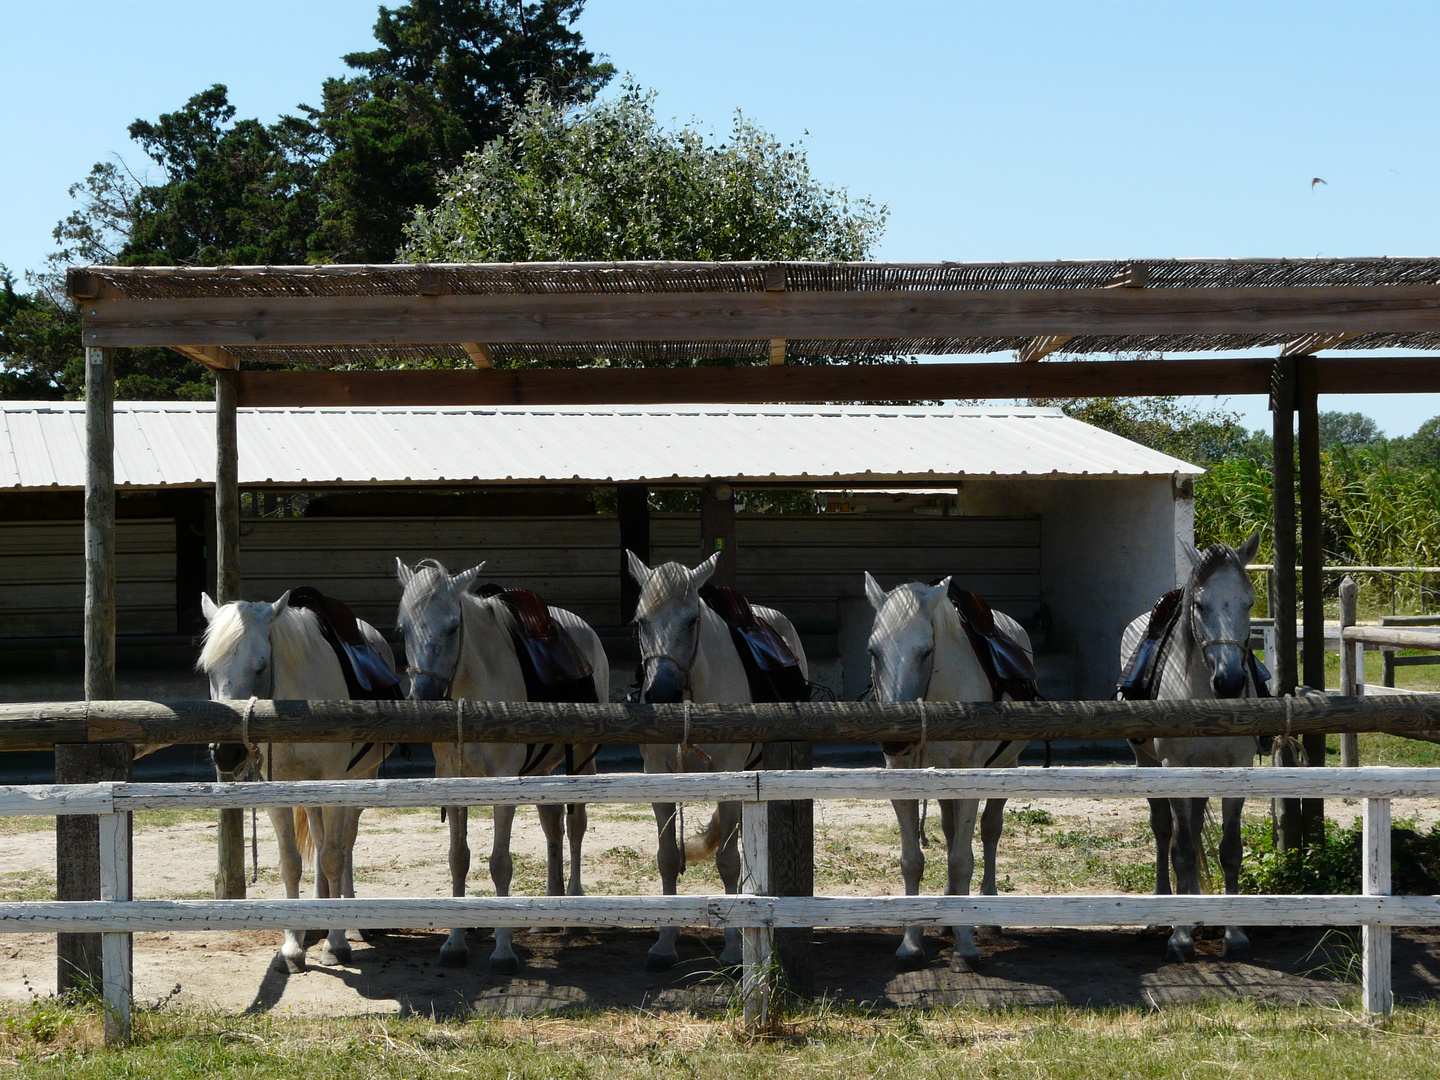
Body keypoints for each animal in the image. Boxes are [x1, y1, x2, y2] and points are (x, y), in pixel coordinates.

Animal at [197, 596, 391, 979]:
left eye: (261, 666)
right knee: (320, 839)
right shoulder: (279, 789)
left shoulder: (334, 783)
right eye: (208, 670)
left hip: (358, 781)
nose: (225, 751)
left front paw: (335, 944)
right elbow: (292, 862)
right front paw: (292, 947)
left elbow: (332, 858)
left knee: (345, 844)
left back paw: (350, 923)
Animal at [394, 561, 607, 979]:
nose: (424, 699)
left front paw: (503, 951)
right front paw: (454, 944)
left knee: (575, 826)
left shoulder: (503, 785)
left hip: (583, 759)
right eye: (403, 629)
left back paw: (573, 909)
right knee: (553, 826)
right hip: (542, 769)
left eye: (452, 628)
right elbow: (458, 858)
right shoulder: (451, 780)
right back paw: (549, 910)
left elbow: (500, 864)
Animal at [630, 550, 812, 973]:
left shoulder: (731, 774)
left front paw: (732, 947)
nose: (661, 692)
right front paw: (664, 944)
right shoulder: (657, 775)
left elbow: (728, 860)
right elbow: (667, 858)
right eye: (640, 621)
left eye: (693, 620)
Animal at [864, 578, 1036, 979]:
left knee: (989, 831)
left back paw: (986, 915)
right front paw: (911, 943)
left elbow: (962, 858)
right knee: (950, 828)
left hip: (1005, 765)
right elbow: (913, 859)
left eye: (926, 651)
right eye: (874, 651)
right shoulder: (902, 775)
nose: (893, 737)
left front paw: (966, 947)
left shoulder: (971, 774)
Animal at [1123, 532, 1261, 961]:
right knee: (1164, 831)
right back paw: (1162, 911)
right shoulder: (1174, 765)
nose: (1230, 681)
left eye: (1249, 602)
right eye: (1199, 605)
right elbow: (1182, 850)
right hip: (1148, 762)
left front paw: (1236, 935)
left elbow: (1230, 849)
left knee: (1195, 826)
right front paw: (1180, 937)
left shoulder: (1238, 766)